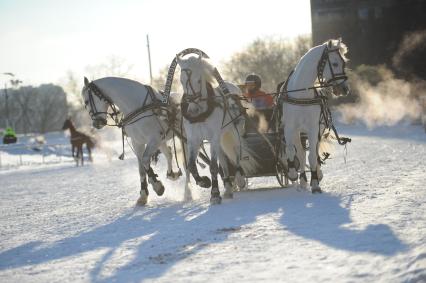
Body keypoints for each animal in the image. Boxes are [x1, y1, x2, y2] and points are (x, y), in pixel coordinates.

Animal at [81, 77, 181, 206]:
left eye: (86, 102)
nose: (96, 124)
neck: (137, 106)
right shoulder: (138, 142)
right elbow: (141, 169)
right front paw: (143, 195)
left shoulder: (154, 139)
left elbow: (145, 160)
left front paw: (157, 186)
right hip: (162, 141)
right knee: (169, 153)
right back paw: (172, 174)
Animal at [176, 53, 258, 204]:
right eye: (181, 81)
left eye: (198, 80)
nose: (192, 110)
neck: (201, 114)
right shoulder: (193, 140)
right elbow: (191, 166)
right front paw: (204, 182)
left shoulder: (213, 137)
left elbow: (213, 167)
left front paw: (214, 194)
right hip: (220, 139)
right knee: (224, 162)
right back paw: (228, 189)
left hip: (234, 132)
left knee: (236, 154)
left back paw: (239, 179)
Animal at [280, 38, 350, 193]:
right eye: (335, 63)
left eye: (344, 63)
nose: (345, 89)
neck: (301, 94)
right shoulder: (290, 128)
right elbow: (291, 151)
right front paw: (293, 175)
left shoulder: (313, 129)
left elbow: (312, 156)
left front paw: (315, 183)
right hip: (300, 133)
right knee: (300, 153)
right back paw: (302, 180)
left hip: (317, 130)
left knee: (314, 152)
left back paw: (316, 174)